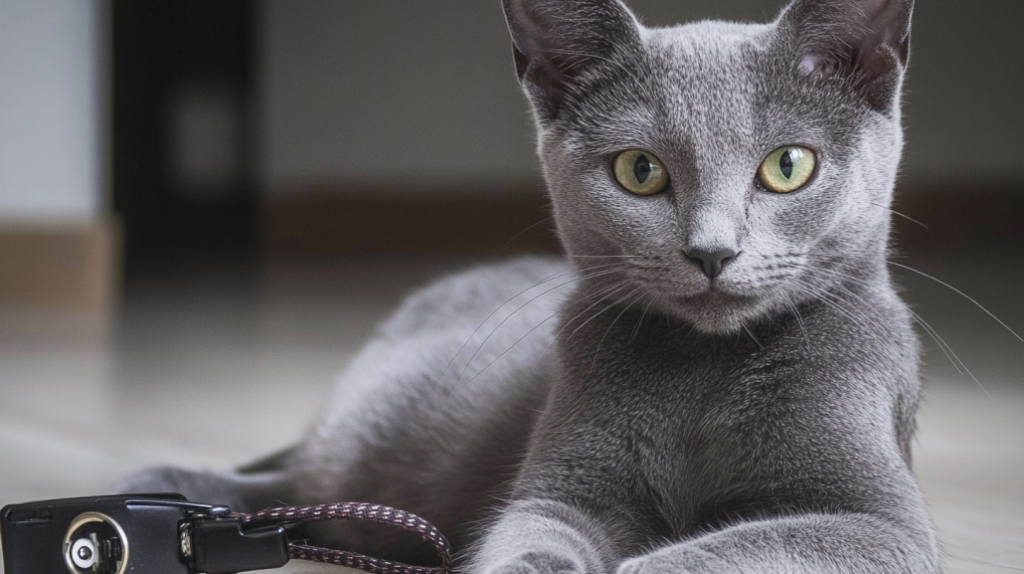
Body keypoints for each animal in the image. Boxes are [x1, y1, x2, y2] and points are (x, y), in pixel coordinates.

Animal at [116, 0, 937, 568]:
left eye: (787, 166)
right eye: (640, 171)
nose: (712, 251)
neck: (705, 374)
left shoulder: (879, 523)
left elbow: (727, 549)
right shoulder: (561, 490)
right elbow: (530, 537)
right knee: (302, 487)